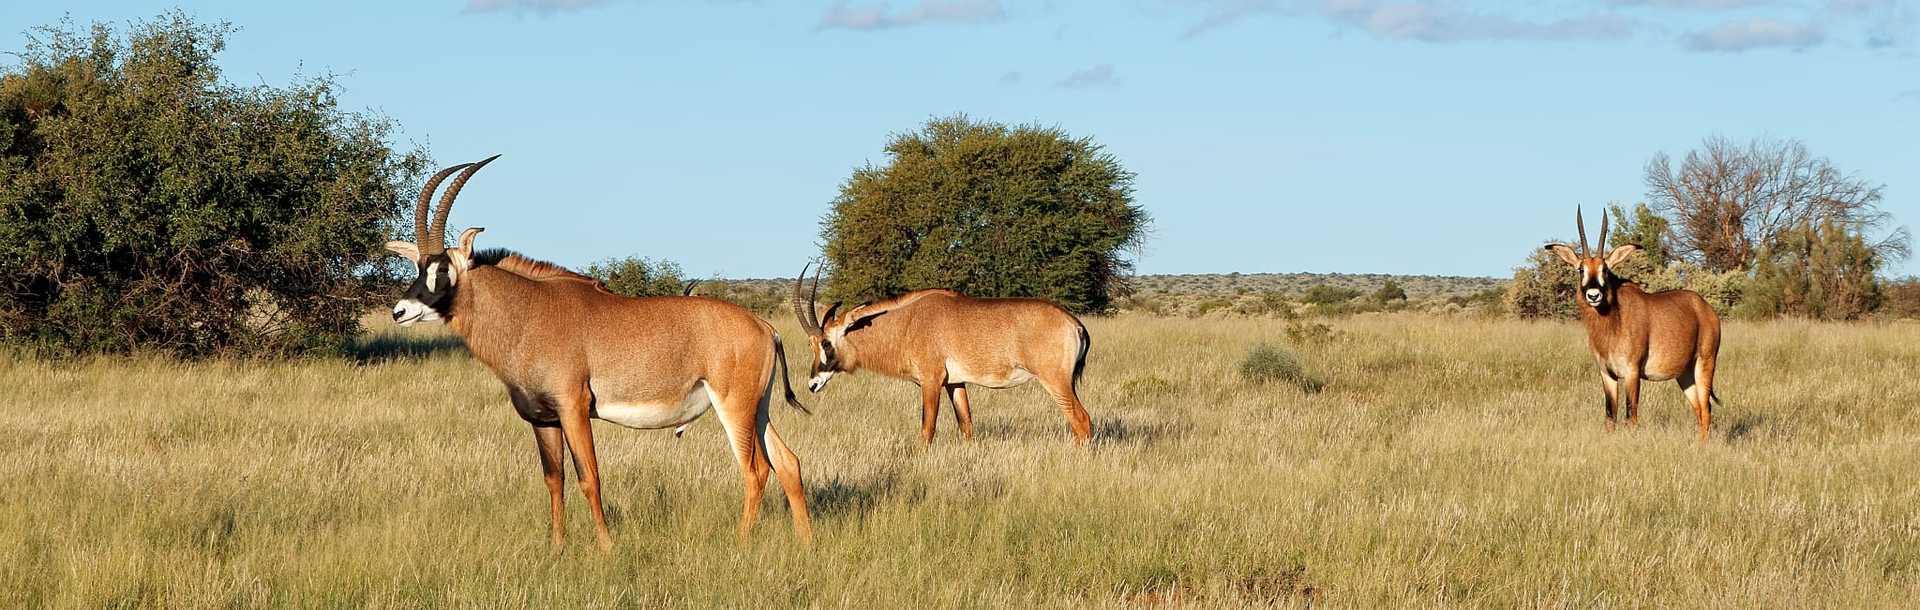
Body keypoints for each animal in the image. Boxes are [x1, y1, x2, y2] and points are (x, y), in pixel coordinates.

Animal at [385, 157, 814, 548]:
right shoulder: (543, 419)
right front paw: (557, 548)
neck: (528, 311)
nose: (400, 311)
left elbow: (589, 477)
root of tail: (765, 327)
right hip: (758, 409)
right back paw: (804, 541)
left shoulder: (573, 409)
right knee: (787, 462)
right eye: (419, 266)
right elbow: (554, 479)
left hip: (734, 407)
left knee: (755, 470)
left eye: (442, 270)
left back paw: (741, 542)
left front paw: (607, 548)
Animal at [787, 264, 1098, 445]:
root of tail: (1074, 323)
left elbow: (927, 429)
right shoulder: (955, 383)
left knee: (1081, 420)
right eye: (811, 345)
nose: (812, 384)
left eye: (826, 343)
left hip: (1055, 381)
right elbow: (967, 426)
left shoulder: (931, 381)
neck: (908, 321)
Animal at [1543, 207, 1728, 441]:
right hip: (1685, 375)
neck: (1614, 320)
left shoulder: (1632, 373)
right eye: (1581, 269)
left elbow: (1631, 415)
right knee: (1699, 409)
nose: (1593, 295)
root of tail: (1705, 308)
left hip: (1705, 363)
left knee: (1705, 408)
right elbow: (1610, 416)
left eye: (1604, 269)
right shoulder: (1607, 374)